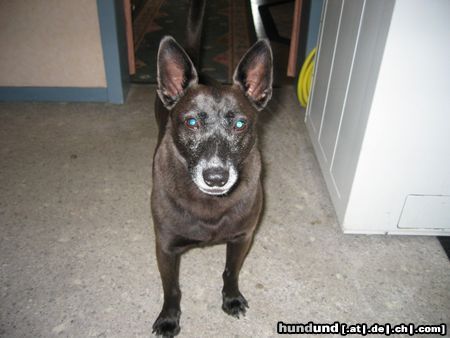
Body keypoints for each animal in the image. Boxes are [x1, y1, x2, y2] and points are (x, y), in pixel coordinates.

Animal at [151, 0, 272, 336]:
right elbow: (171, 288)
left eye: (240, 124)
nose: (216, 177)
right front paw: (169, 318)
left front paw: (231, 299)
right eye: (192, 121)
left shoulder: (242, 238)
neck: (209, 204)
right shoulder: (165, 247)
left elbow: (231, 271)